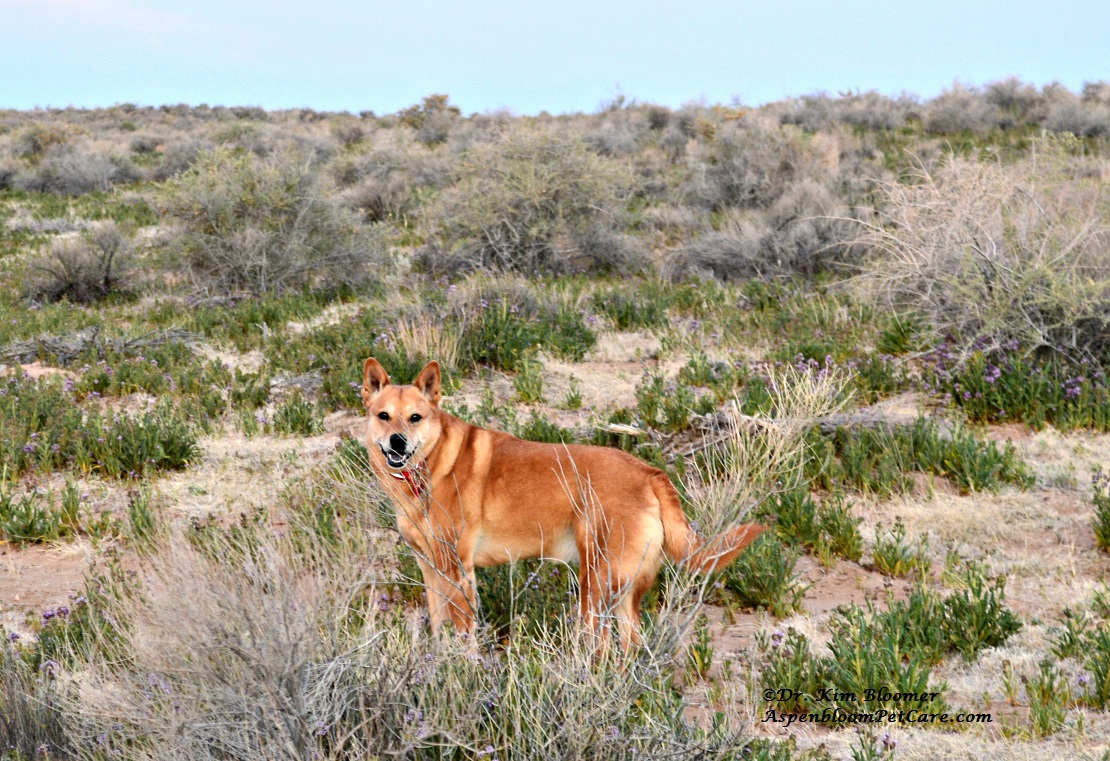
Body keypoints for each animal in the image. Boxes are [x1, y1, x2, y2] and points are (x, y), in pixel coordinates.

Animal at [359, 357, 768, 647]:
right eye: (384, 416)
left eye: (415, 417)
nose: (397, 442)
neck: (429, 468)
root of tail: (648, 471)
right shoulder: (430, 569)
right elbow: (438, 631)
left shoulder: (458, 571)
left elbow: (464, 637)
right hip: (620, 590)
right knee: (630, 646)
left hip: (597, 585)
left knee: (601, 647)